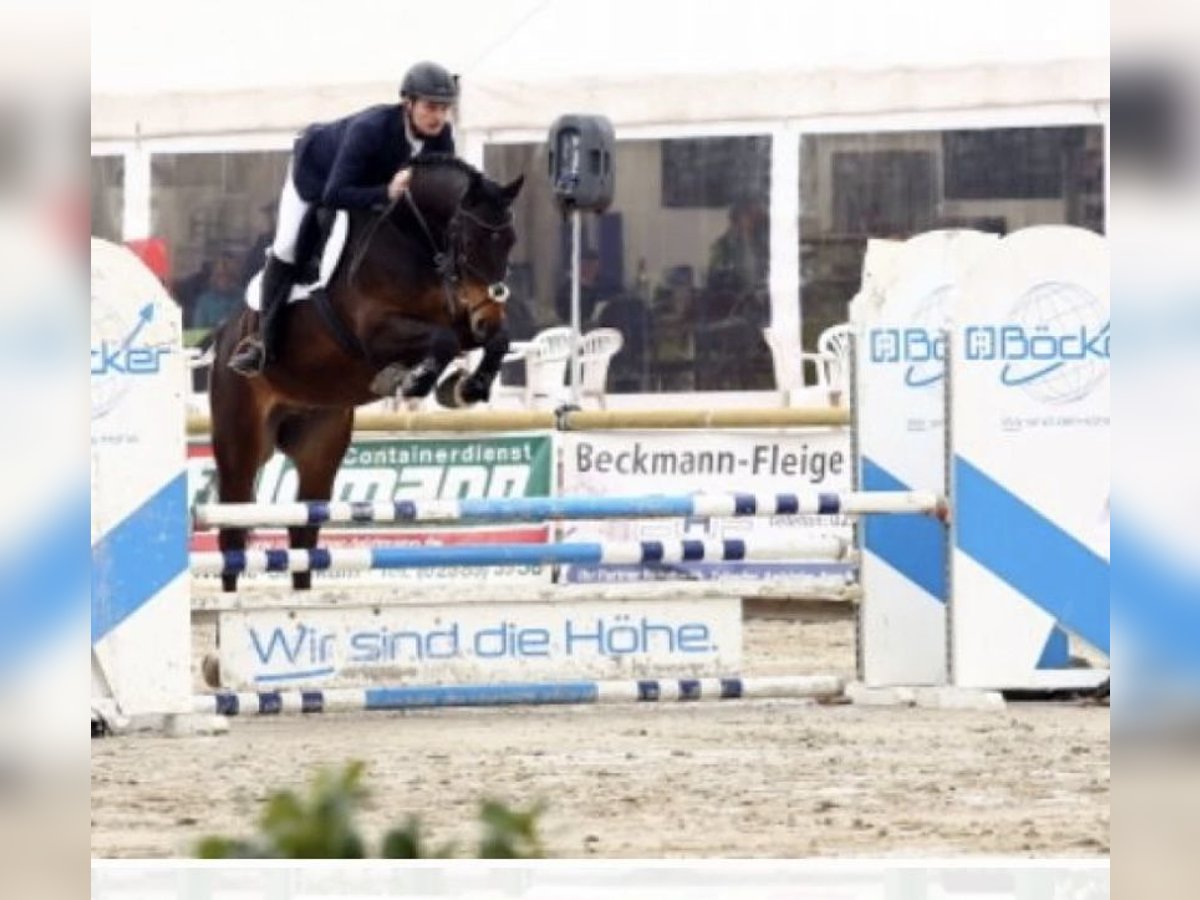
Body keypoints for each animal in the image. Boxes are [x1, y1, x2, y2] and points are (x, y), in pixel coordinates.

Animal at [207, 155, 524, 592]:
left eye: (509, 240)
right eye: (469, 240)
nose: (488, 314)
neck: (416, 239)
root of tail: (224, 338)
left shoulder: (461, 317)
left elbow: (493, 340)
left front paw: (464, 386)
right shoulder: (375, 332)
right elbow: (441, 341)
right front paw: (411, 380)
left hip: (319, 443)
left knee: (304, 534)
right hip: (241, 440)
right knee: (232, 534)